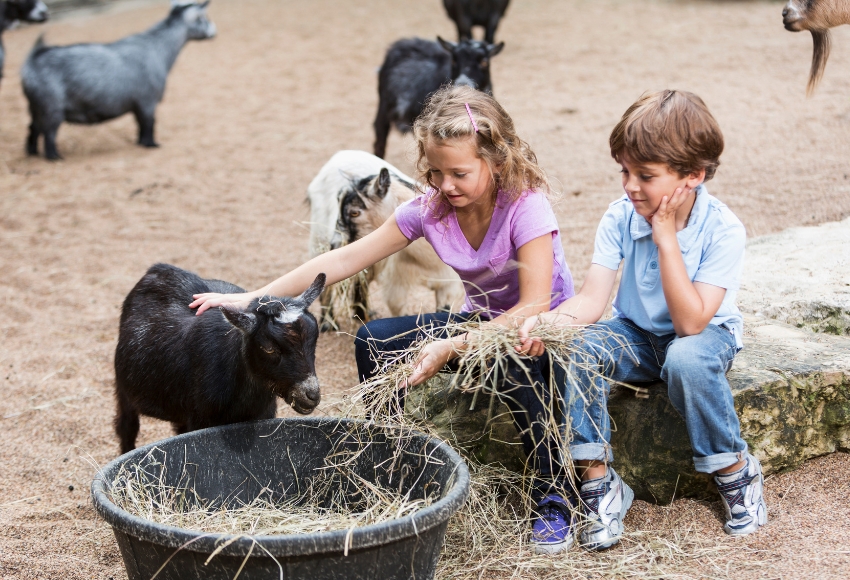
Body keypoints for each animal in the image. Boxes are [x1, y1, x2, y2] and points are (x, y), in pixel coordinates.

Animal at [20, 0, 215, 159]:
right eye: (203, 18)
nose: (214, 31)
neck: (157, 48)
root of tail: (33, 59)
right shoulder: (147, 100)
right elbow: (149, 124)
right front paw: (151, 145)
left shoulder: (138, 105)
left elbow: (140, 125)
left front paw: (141, 143)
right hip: (51, 106)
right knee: (49, 133)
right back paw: (54, 156)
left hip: (36, 106)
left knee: (33, 128)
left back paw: (32, 152)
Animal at [113, 264, 324, 458]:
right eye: (269, 348)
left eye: (314, 341)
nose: (311, 395)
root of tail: (158, 269)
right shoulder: (200, 419)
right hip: (124, 391)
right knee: (126, 426)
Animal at [306, 150, 460, 328]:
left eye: (354, 212)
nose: (335, 244)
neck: (427, 262)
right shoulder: (396, 285)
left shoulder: (449, 284)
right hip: (318, 240)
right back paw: (329, 323)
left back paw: (362, 314)